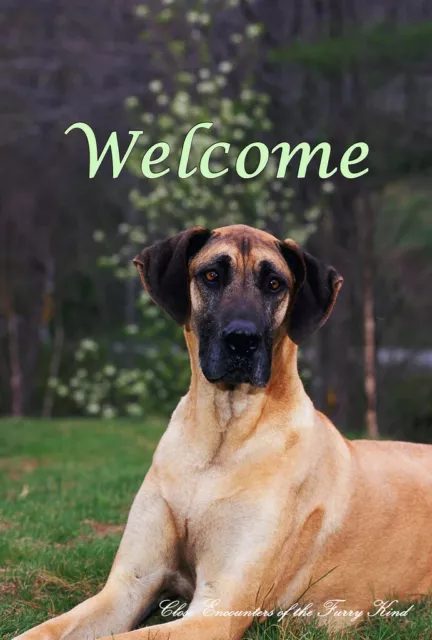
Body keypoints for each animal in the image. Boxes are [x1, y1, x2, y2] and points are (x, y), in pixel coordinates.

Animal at [15, 224, 432, 636]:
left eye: (275, 284)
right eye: (212, 275)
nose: (242, 339)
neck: (221, 437)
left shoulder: (218, 608)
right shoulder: (128, 586)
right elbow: (45, 630)